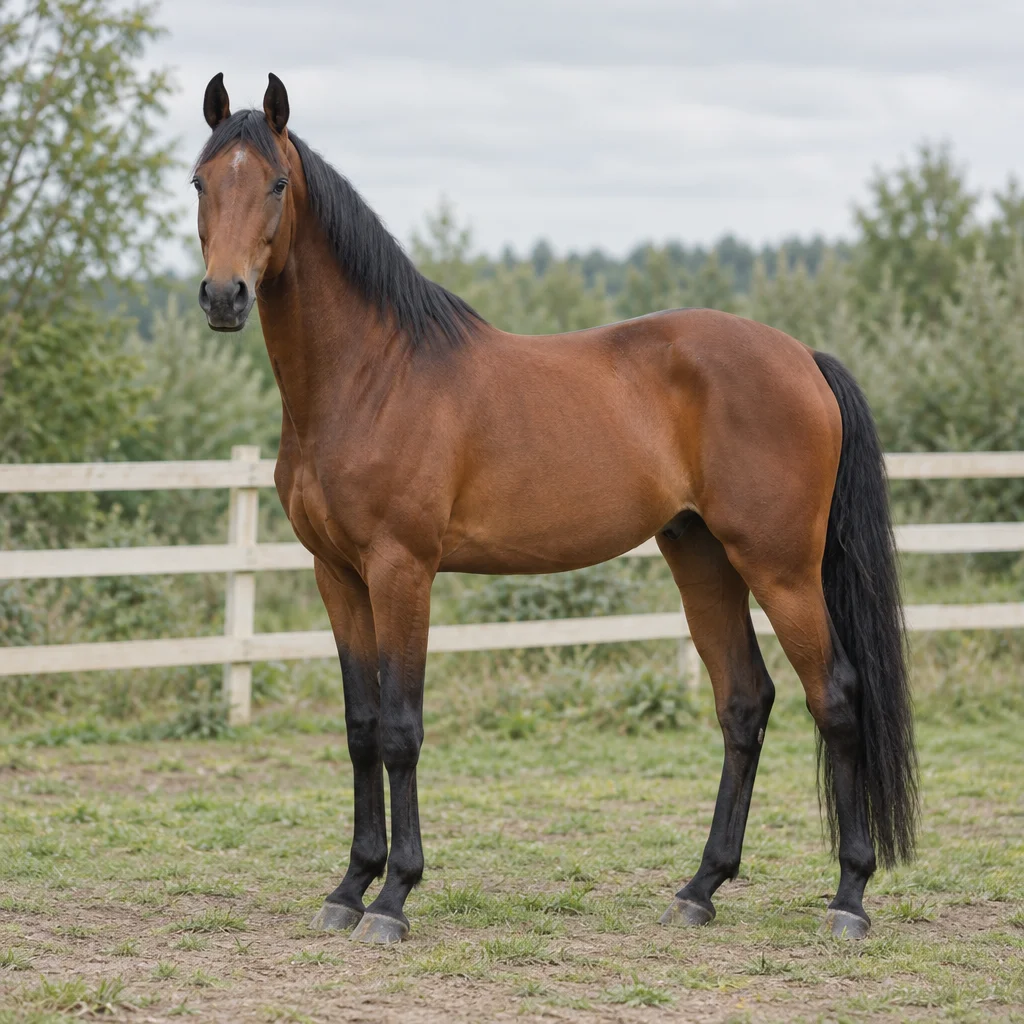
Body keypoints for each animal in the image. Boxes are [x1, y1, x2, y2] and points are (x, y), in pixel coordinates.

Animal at [192, 72, 918, 945]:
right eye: (199, 182)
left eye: (275, 183)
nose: (224, 296)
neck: (371, 378)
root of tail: (802, 358)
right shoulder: (336, 574)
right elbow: (362, 727)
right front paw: (349, 886)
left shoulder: (403, 571)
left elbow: (401, 727)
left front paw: (394, 897)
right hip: (701, 556)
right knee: (745, 703)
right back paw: (700, 887)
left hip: (781, 568)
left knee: (835, 699)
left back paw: (849, 897)